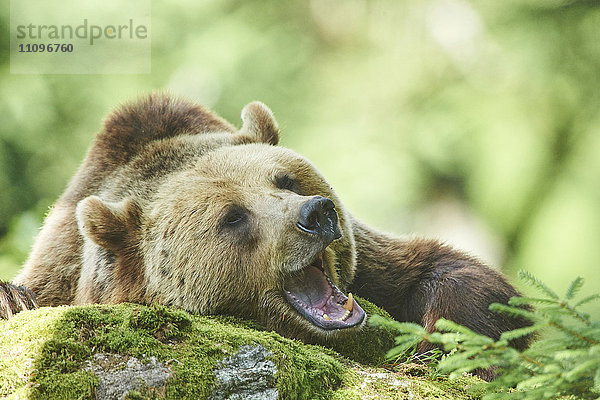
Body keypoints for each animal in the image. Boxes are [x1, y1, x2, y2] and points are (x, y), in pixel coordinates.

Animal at [1, 92, 528, 358]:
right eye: (233, 217)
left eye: (285, 179)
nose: (316, 214)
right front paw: (13, 299)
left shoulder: (371, 262)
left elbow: (445, 271)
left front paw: (449, 342)